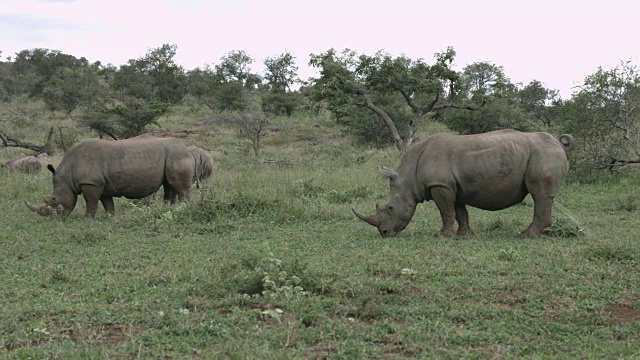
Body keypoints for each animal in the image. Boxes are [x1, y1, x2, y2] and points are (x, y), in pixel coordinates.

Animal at [25, 135, 215, 218]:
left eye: (54, 199)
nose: (57, 218)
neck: (67, 175)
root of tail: (189, 150)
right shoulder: (101, 184)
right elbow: (107, 203)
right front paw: (111, 217)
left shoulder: (91, 183)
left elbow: (91, 202)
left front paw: (88, 219)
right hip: (173, 156)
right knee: (170, 186)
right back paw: (168, 209)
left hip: (178, 156)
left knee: (181, 188)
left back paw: (183, 209)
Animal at [356, 131, 576, 238]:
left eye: (390, 208)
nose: (384, 233)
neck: (409, 176)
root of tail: (559, 143)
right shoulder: (451, 186)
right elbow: (459, 212)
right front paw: (465, 235)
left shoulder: (439, 185)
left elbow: (446, 212)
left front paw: (441, 235)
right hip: (543, 153)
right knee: (542, 197)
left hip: (544, 154)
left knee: (539, 195)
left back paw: (527, 236)